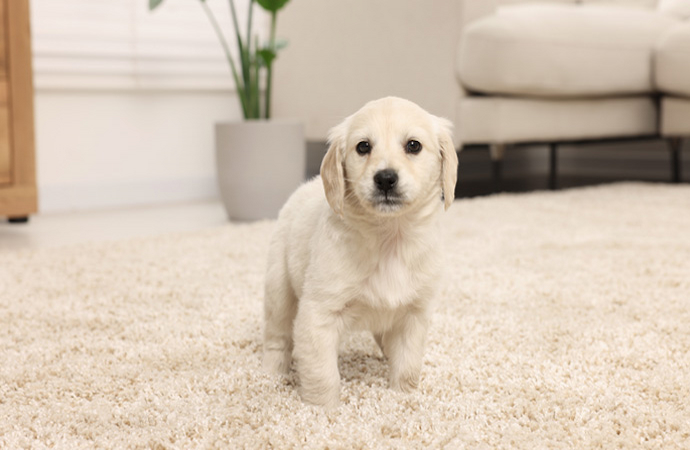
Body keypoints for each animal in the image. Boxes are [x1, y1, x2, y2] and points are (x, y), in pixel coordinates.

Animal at [262, 96, 456, 408]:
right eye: (363, 147)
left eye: (413, 145)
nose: (386, 179)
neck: (389, 238)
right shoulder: (318, 313)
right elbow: (322, 373)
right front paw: (322, 409)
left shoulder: (414, 315)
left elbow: (408, 365)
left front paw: (403, 397)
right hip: (279, 290)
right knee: (276, 338)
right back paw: (271, 374)